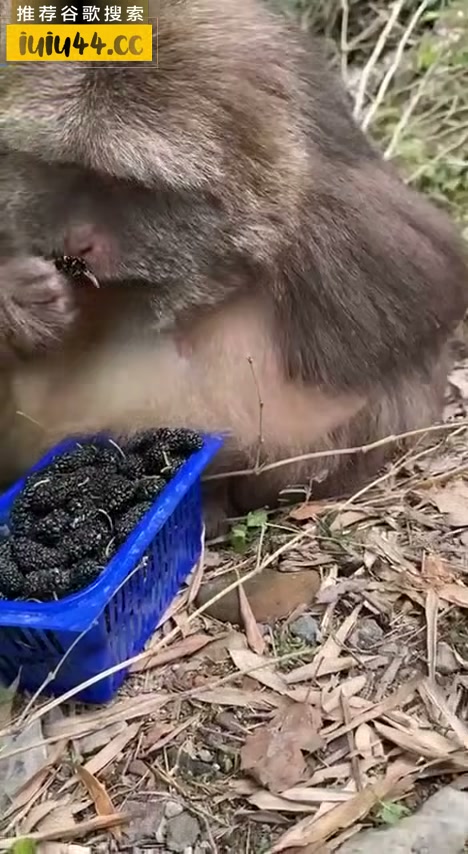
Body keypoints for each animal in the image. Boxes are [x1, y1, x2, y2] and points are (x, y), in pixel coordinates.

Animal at [0, 0, 466, 535]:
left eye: (125, 185)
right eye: (65, 169)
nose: (79, 241)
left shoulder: (346, 225)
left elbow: (425, 304)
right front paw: (17, 302)